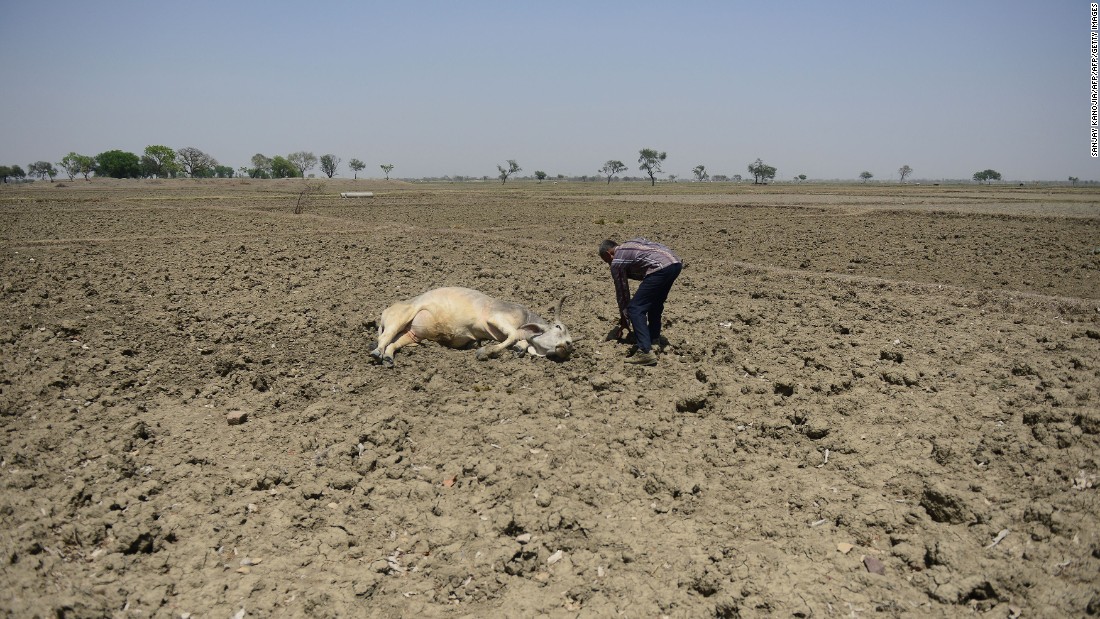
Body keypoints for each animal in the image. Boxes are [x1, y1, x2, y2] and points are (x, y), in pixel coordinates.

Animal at [369, 288, 576, 367]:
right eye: (558, 327)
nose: (569, 345)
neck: (525, 317)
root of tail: (388, 309)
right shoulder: (496, 318)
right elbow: (513, 336)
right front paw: (485, 351)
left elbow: (519, 341)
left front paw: (519, 348)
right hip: (401, 317)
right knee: (384, 338)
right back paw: (377, 352)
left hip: (411, 335)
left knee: (393, 344)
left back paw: (388, 357)